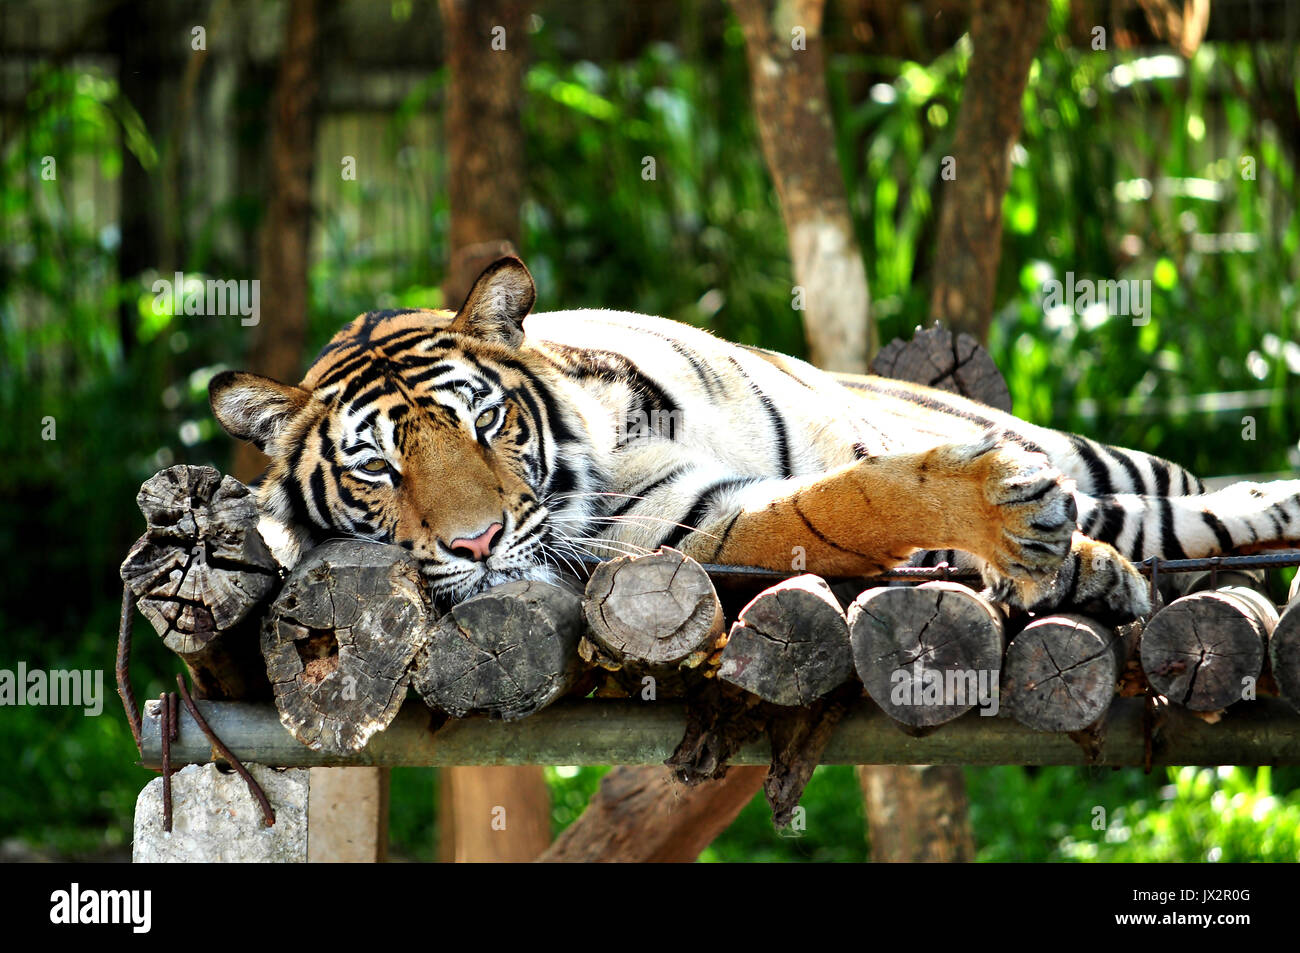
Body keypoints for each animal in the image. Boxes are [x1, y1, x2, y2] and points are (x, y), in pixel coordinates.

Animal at [209, 256, 1300, 623]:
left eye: (486, 422)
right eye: (378, 468)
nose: (476, 542)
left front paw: (1039, 535)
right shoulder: (697, 530)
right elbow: (847, 501)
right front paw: (1019, 527)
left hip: (1092, 451)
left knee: (1174, 497)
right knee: (1167, 520)